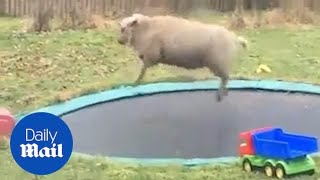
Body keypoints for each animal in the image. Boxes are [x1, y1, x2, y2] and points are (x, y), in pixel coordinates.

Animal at [117, 13, 248, 101]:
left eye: (123, 28)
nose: (119, 41)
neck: (145, 29)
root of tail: (235, 38)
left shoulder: (151, 56)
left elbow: (142, 71)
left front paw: (135, 84)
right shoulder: (148, 56)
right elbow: (142, 70)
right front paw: (135, 84)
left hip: (218, 63)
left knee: (225, 78)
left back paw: (220, 94)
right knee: (226, 78)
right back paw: (224, 92)